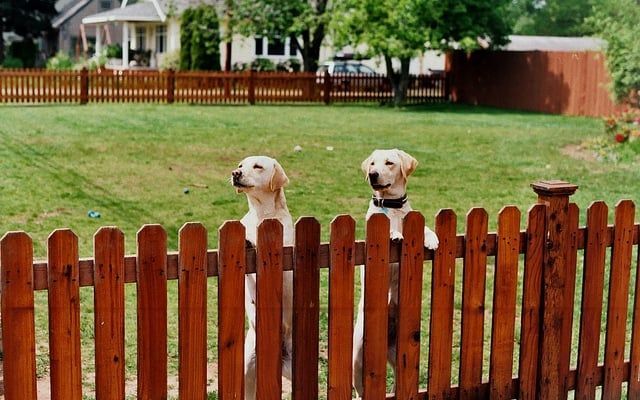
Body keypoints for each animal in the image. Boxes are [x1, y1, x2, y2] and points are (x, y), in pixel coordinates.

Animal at [231, 155, 294, 400]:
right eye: (240, 165)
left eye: (258, 167)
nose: (235, 173)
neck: (260, 214)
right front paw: (248, 241)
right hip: (247, 369)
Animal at [350, 149, 440, 396]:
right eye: (372, 164)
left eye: (389, 163)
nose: (373, 174)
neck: (391, 206)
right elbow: (390, 230)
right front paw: (395, 234)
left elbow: (426, 227)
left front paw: (432, 239)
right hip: (356, 360)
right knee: (360, 390)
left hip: (405, 354)